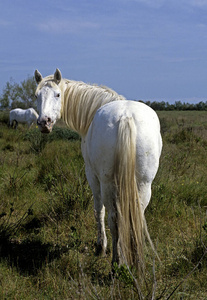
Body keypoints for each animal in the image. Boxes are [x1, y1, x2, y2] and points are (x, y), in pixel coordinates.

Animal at [34, 69, 163, 274]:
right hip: (144, 184)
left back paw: (116, 262)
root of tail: (126, 117)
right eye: (36, 96)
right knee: (137, 216)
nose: (44, 123)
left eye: (58, 94)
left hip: (107, 182)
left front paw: (100, 246)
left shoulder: (92, 175)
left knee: (113, 218)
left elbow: (98, 210)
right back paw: (136, 263)